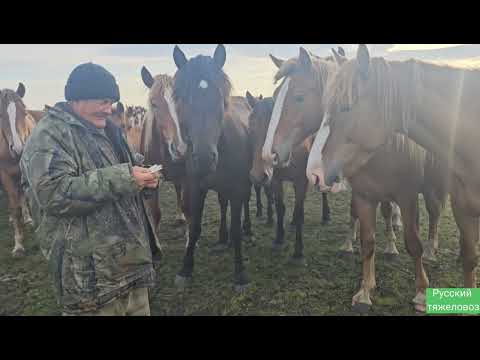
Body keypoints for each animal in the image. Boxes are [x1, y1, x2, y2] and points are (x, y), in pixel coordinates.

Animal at [172, 45, 255, 292]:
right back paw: (221, 238)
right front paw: (185, 269)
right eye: (182, 98)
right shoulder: (196, 187)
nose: (204, 159)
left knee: (245, 202)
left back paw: (247, 230)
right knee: (222, 203)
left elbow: (236, 228)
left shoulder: (237, 187)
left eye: (219, 98)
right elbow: (195, 227)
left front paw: (240, 274)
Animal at [310, 45, 460, 312]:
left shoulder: (408, 197)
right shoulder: (365, 197)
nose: (315, 173)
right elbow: (368, 242)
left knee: (434, 213)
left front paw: (421, 293)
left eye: (346, 107)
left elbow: (413, 243)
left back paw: (432, 249)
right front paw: (364, 291)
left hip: (433, 186)